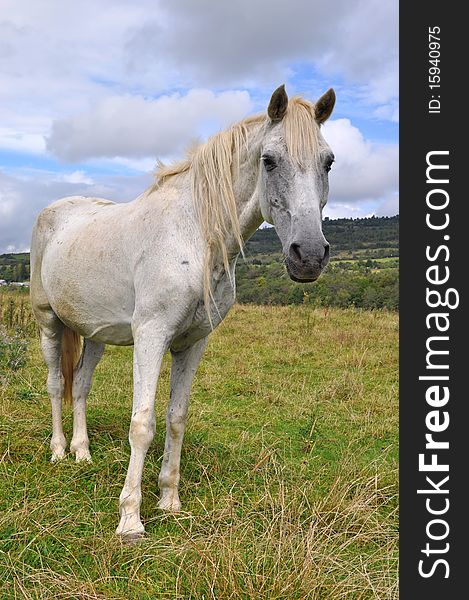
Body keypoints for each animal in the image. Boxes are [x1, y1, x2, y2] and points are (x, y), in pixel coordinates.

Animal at [29, 84, 334, 540]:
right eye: (269, 160)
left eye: (328, 161)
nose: (309, 256)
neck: (194, 238)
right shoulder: (152, 336)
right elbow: (142, 425)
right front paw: (130, 520)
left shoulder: (192, 343)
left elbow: (176, 418)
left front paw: (169, 501)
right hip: (48, 322)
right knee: (54, 384)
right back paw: (59, 451)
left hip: (95, 333)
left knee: (79, 385)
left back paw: (83, 453)